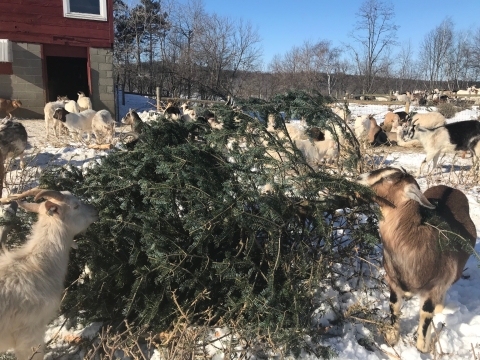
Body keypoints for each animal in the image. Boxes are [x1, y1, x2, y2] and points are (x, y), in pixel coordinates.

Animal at [356, 167, 476, 352]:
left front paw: (422, 347)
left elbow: (426, 314)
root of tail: (450, 188)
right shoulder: (394, 282)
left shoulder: (434, 287)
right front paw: (392, 339)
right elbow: (393, 306)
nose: (358, 178)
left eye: (388, 178)